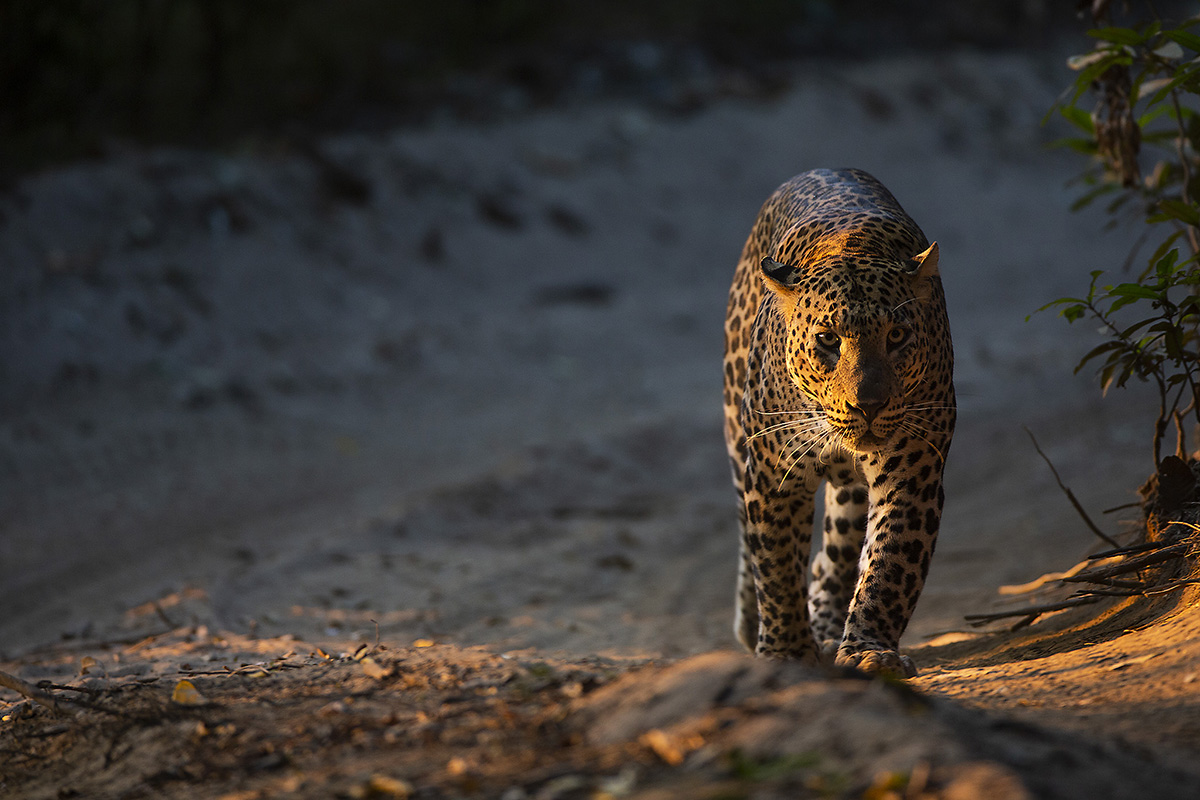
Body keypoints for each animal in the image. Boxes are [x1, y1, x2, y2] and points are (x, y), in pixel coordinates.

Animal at [720, 167, 955, 676]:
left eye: (897, 336)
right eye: (827, 340)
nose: (869, 405)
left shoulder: (913, 472)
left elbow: (889, 565)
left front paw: (868, 649)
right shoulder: (771, 475)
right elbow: (776, 565)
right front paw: (785, 651)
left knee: (835, 553)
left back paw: (829, 629)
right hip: (735, 431)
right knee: (752, 543)